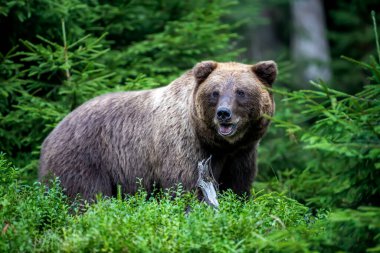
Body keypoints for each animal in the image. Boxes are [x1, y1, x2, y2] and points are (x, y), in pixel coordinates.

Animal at [38, 60, 276, 201]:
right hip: (85, 157)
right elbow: (185, 186)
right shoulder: (183, 145)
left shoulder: (241, 154)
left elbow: (237, 186)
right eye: (215, 92)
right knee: (83, 196)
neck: (216, 143)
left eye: (241, 91)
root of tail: (51, 133)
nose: (223, 113)